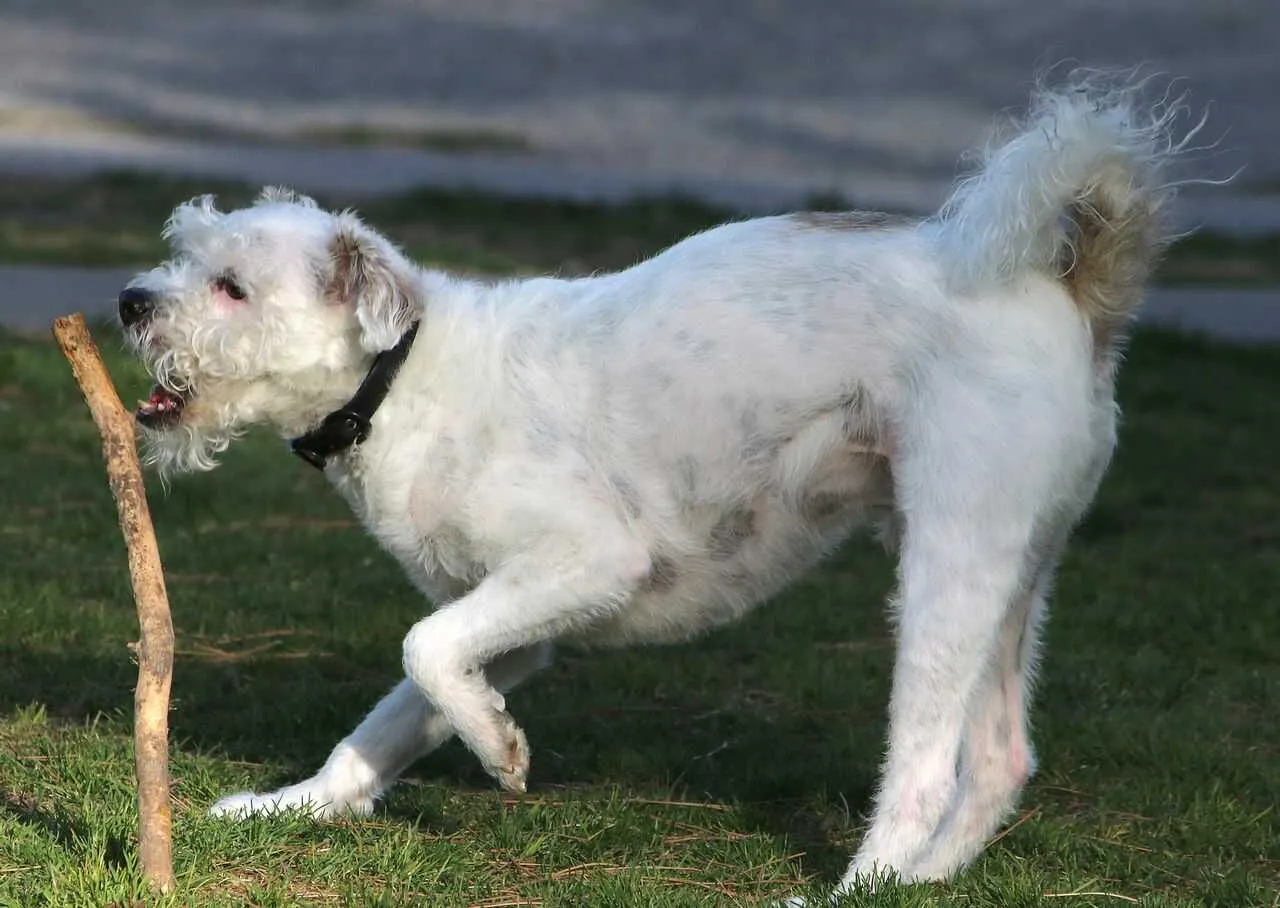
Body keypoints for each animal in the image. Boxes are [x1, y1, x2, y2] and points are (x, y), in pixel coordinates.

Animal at [117, 72, 1198, 891]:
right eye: (184, 254)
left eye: (232, 286)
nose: (129, 300)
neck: (403, 373)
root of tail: (1071, 287)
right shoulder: (507, 622)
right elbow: (398, 708)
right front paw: (299, 802)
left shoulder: (586, 558)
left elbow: (421, 648)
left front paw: (499, 752)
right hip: (1012, 571)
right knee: (999, 758)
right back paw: (919, 884)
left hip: (949, 565)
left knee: (928, 768)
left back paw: (859, 886)